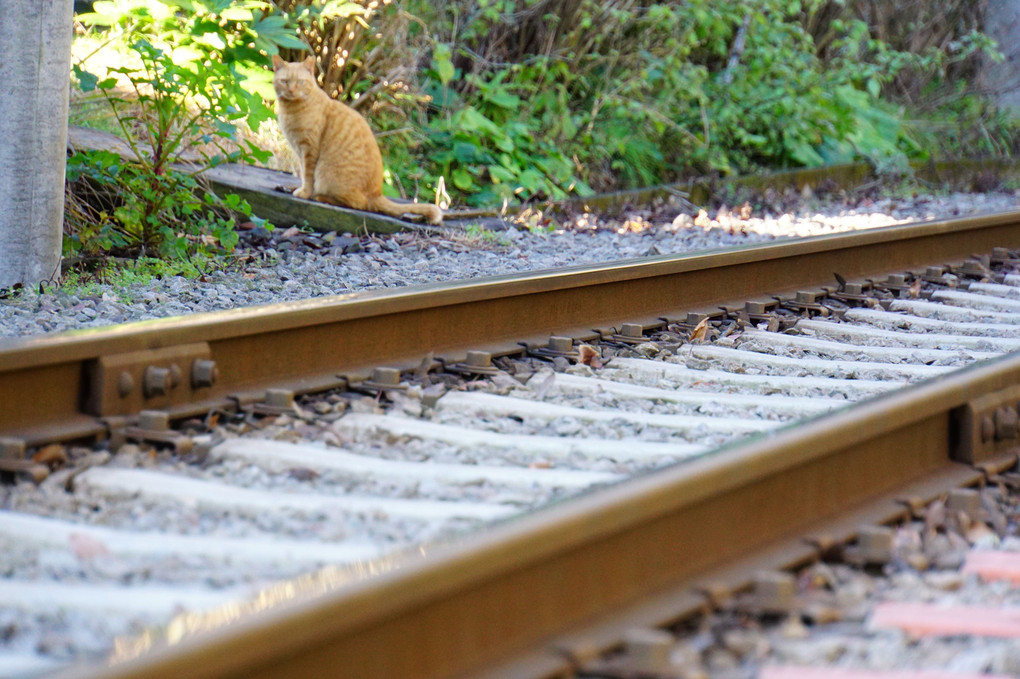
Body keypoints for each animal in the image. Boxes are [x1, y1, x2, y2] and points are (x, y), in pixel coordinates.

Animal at [269, 55, 440, 223]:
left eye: (300, 82)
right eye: (285, 81)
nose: (291, 90)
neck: (291, 109)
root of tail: (377, 194)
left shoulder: (309, 149)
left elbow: (308, 175)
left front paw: (305, 192)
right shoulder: (299, 151)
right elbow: (303, 174)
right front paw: (299, 188)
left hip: (328, 176)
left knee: (358, 204)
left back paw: (319, 196)